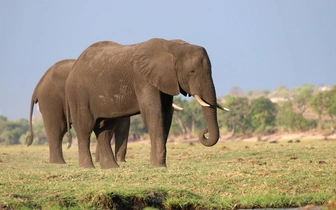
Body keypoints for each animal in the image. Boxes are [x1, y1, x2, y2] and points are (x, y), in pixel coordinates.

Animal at [65, 38, 228, 169]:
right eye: (192, 71)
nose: (204, 132)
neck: (172, 47)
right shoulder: (143, 80)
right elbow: (154, 114)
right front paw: (158, 166)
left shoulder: (165, 80)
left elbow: (166, 115)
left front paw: (159, 164)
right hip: (78, 93)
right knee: (84, 129)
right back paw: (87, 168)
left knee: (105, 130)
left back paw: (112, 168)